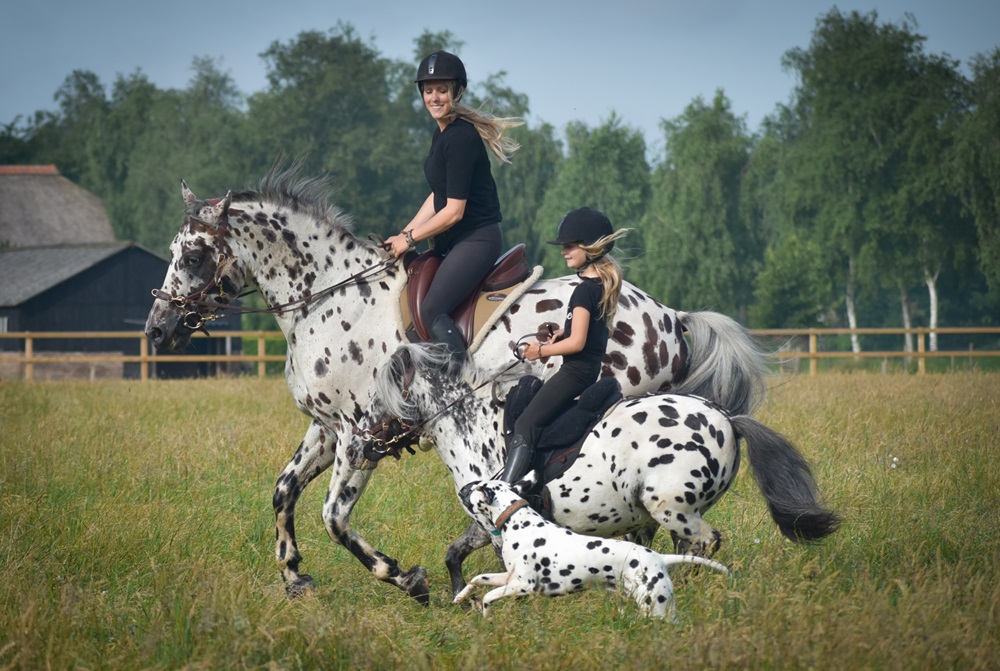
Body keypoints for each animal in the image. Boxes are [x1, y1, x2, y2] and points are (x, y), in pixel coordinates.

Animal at [144, 163, 771, 602]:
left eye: (195, 256)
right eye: (175, 251)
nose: (158, 329)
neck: (329, 297)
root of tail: (669, 315)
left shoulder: (359, 435)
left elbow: (334, 517)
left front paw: (404, 578)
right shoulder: (326, 429)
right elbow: (283, 492)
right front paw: (295, 576)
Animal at [353, 343, 839, 598]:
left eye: (380, 397)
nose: (360, 445)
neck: (472, 423)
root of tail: (726, 418)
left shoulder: (495, 519)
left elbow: (476, 560)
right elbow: (454, 554)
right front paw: (451, 595)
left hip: (671, 506)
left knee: (705, 542)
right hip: (673, 512)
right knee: (687, 546)